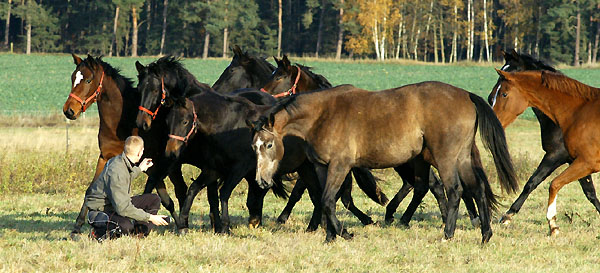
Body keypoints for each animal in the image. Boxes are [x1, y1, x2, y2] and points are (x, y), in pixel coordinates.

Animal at [251, 83, 516, 242]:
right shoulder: (321, 167)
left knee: (454, 190)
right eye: (254, 147)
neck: (324, 114)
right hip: (460, 158)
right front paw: (331, 236)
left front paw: (344, 234)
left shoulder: (340, 165)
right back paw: (485, 234)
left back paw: (447, 234)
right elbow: (324, 201)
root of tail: (466, 95)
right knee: (476, 189)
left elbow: (327, 200)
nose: (261, 181)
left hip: (445, 157)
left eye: (269, 145)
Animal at [488, 50, 600, 224]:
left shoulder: (558, 156)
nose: (489, 98)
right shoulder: (575, 160)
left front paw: (508, 214)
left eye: (504, 93)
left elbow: (532, 182)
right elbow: (590, 193)